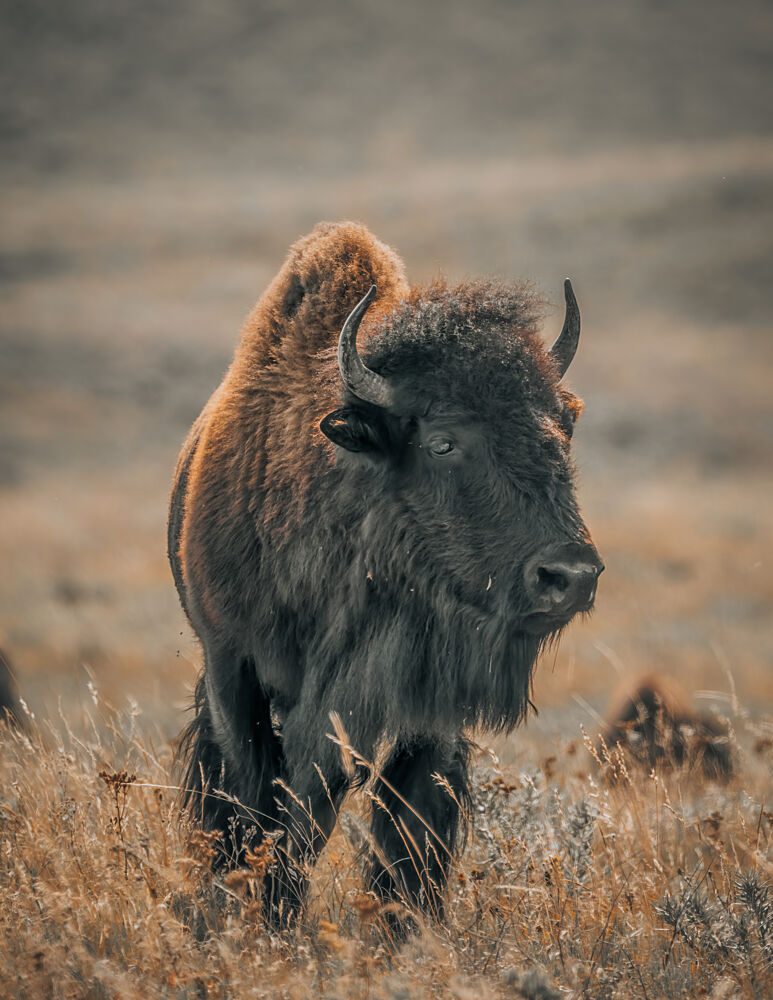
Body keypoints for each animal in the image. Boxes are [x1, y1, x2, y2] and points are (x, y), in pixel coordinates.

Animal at [169, 222, 602, 929]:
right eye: (443, 441)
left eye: (562, 428)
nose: (570, 576)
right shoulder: (234, 668)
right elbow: (264, 803)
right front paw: (262, 914)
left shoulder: (425, 706)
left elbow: (408, 826)